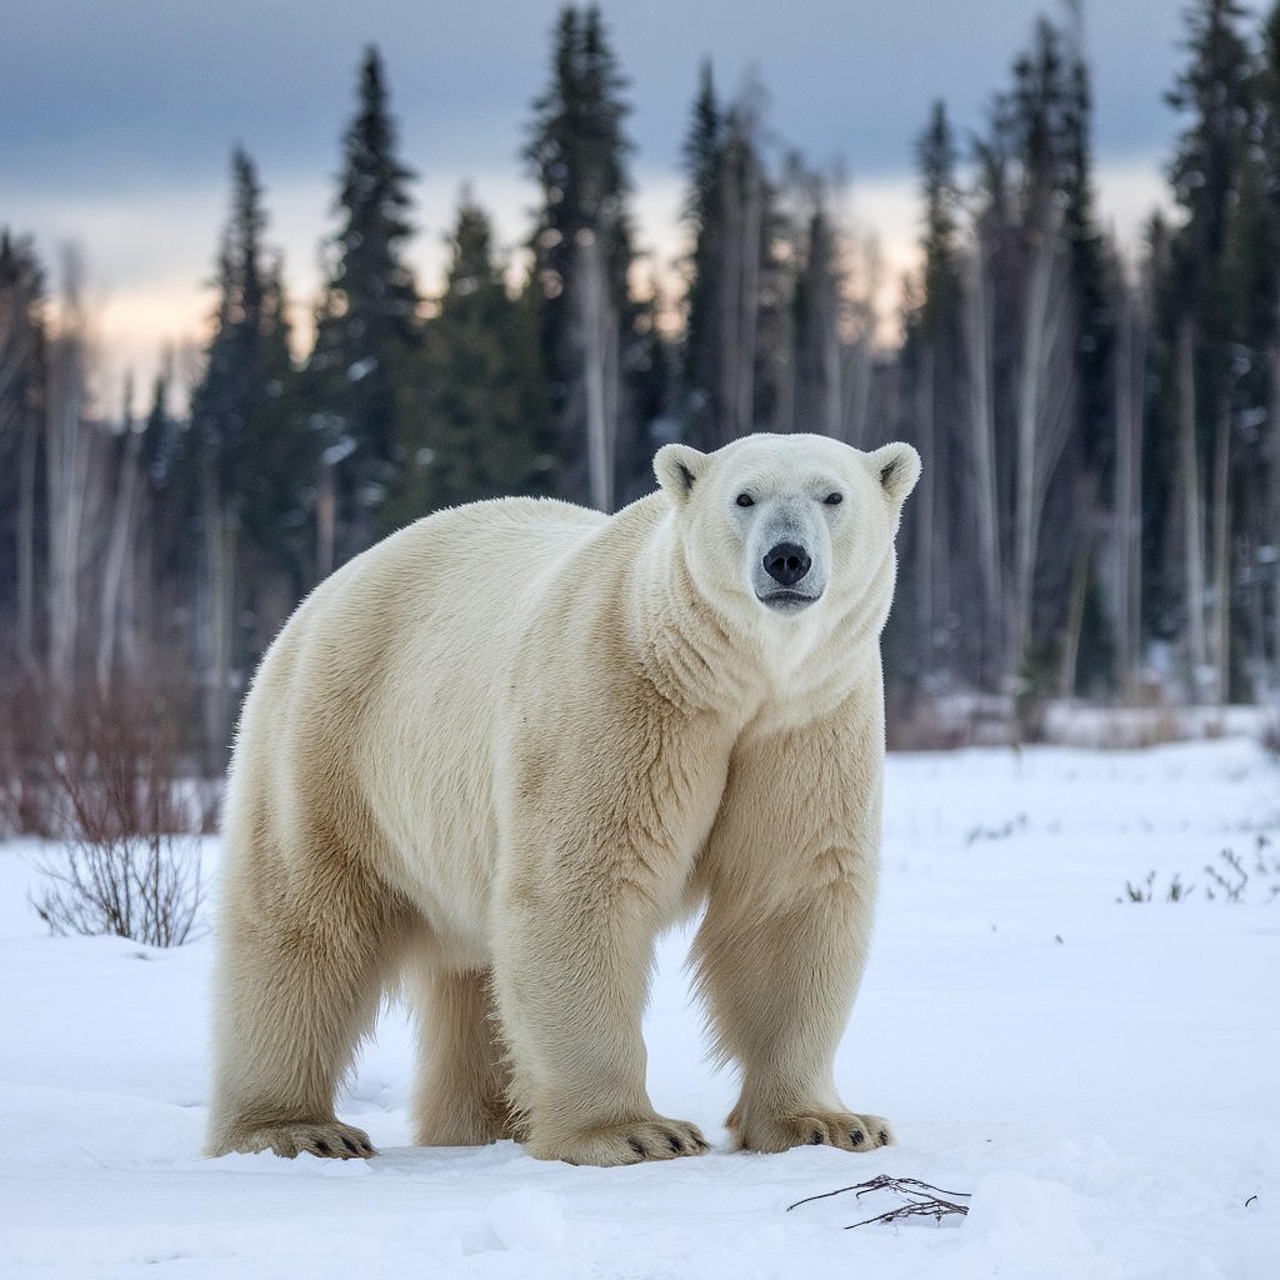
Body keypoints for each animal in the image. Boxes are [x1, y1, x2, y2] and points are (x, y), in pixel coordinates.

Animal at [205, 431, 920, 1166]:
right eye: (743, 498)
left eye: (832, 495)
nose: (786, 558)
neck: (731, 677)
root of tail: (324, 592)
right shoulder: (622, 694)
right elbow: (580, 885)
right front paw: (633, 1132)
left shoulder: (808, 723)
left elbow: (789, 897)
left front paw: (829, 1124)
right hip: (331, 744)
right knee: (303, 925)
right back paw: (297, 1128)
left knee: (472, 972)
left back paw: (487, 1120)